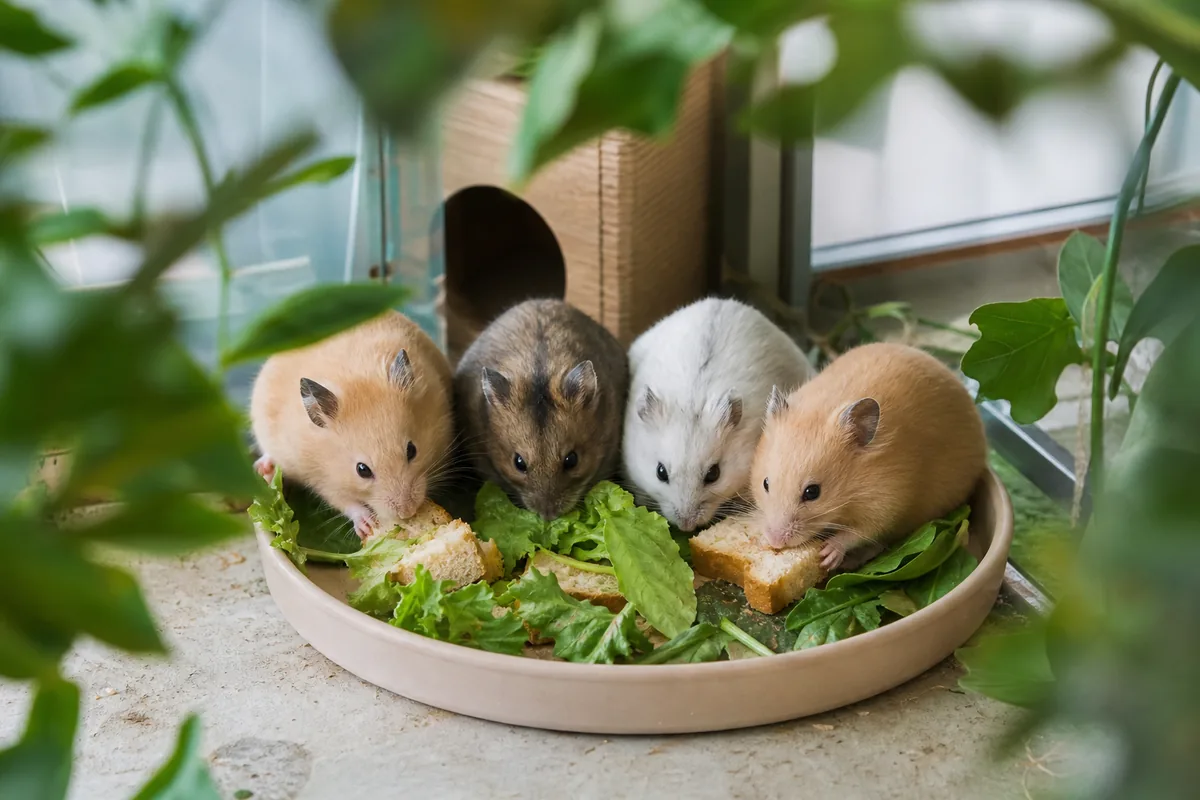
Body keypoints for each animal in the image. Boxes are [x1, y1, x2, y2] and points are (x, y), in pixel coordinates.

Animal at [250, 310, 454, 540]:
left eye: (412, 451)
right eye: (362, 470)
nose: (407, 512)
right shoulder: (322, 479)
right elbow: (344, 501)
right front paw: (367, 526)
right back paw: (263, 468)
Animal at [751, 342, 986, 571]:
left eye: (812, 492)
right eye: (765, 483)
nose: (775, 541)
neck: (852, 491)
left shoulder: (887, 503)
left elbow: (859, 533)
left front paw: (829, 554)